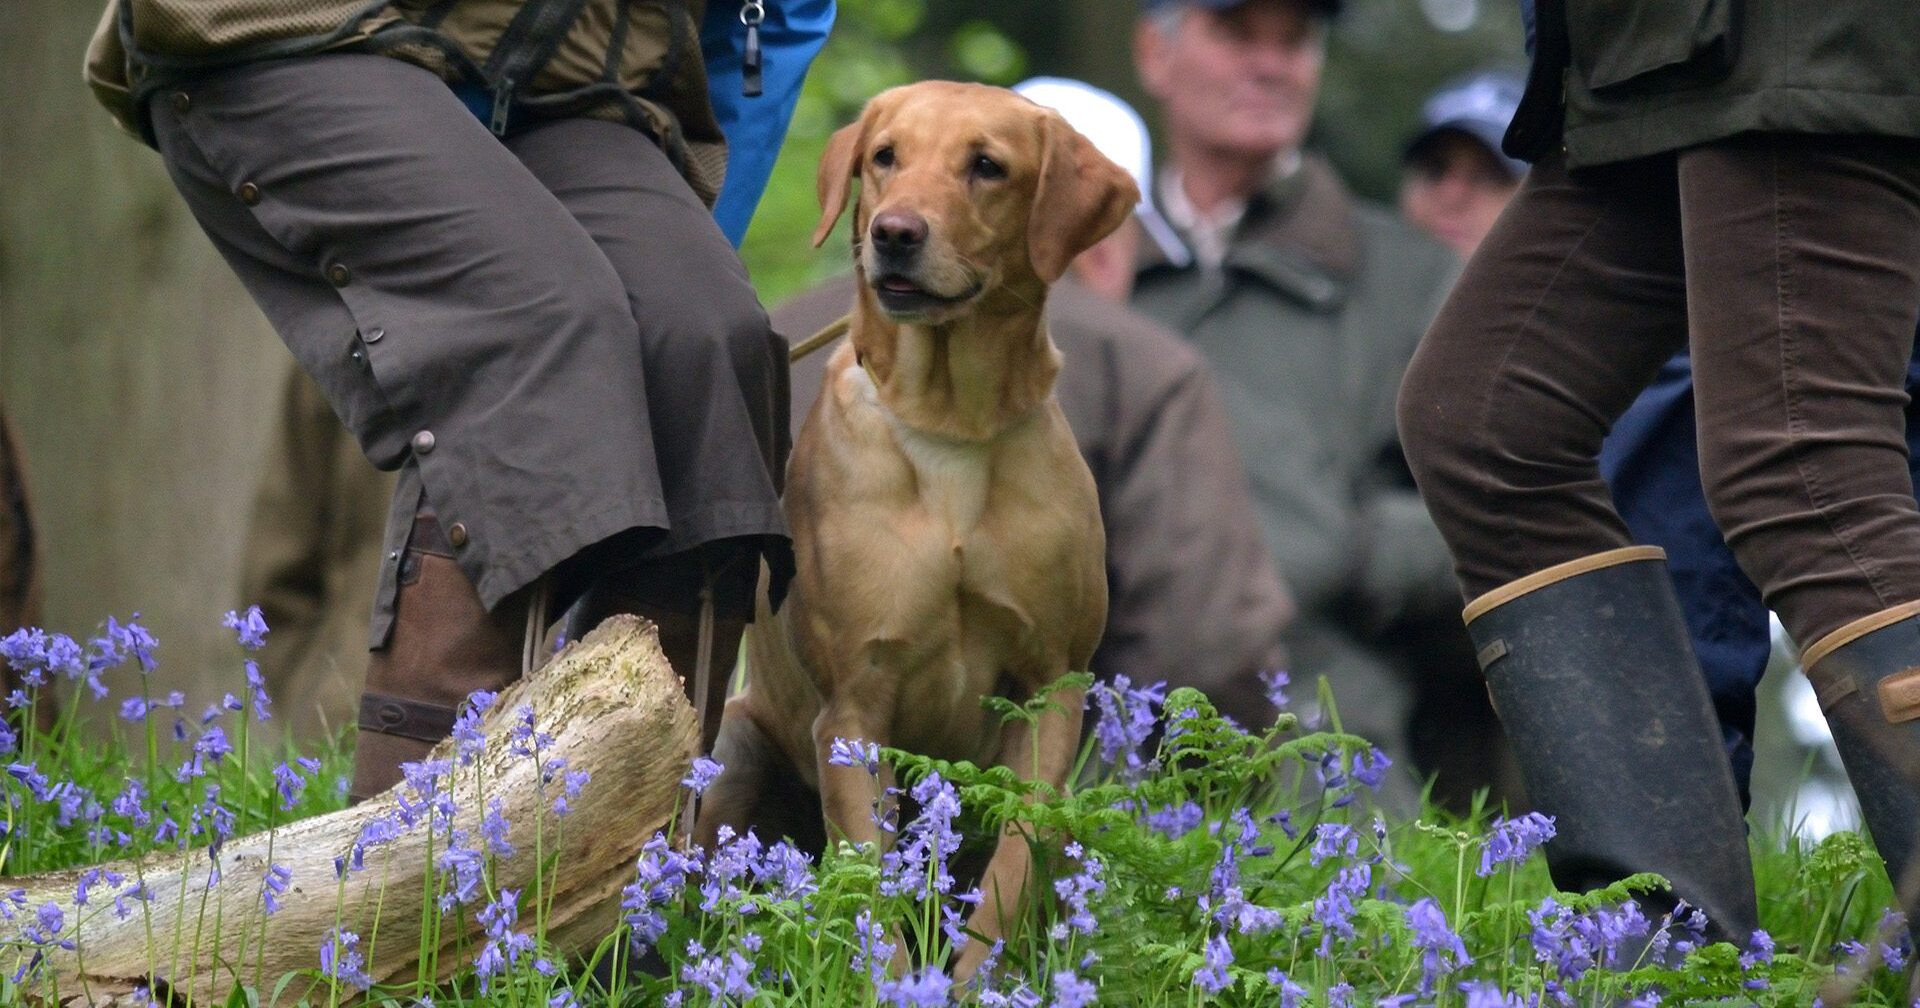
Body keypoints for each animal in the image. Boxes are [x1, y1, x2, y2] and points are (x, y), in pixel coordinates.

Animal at [698, 82, 1128, 979]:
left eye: (987, 166)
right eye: (884, 157)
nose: (895, 232)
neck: (950, 424)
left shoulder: (1051, 691)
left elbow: (1009, 873)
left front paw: (975, 982)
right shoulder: (855, 706)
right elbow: (874, 887)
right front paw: (899, 984)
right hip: (735, 755)